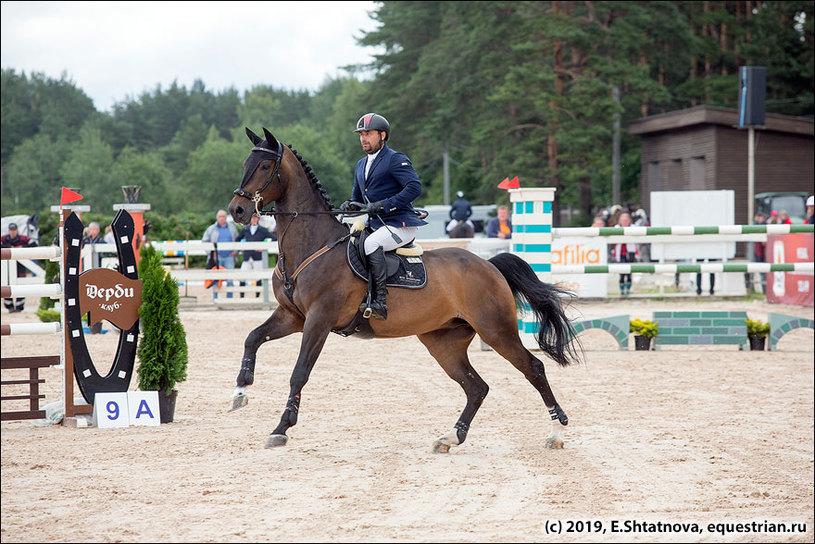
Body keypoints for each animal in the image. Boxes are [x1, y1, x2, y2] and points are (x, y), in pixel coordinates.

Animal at [226, 126, 580, 450]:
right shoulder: (293, 316)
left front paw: (281, 427)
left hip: (495, 329)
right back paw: (451, 436)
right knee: (476, 387)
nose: (237, 211)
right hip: (444, 341)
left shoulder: (319, 319)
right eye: (244, 163)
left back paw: (556, 432)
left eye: (264, 166)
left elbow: (299, 372)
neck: (312, 244)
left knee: (533, 369)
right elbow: (252, 338)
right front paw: (240, 392)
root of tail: (489, 265)